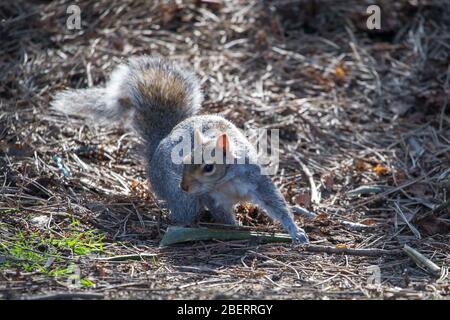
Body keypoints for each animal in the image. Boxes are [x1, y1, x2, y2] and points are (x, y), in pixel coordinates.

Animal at [51, 56, 308, 244]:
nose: (184, 186)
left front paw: (295, 230)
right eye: (184, 160)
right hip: (180, 197)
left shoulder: (255, 180)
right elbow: (222, 213)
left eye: (208, 167)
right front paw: (235, 228)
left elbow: (275, 203)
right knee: (184, 213)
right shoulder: (213, 198)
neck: (227, 180)